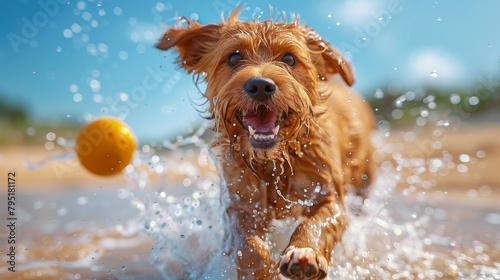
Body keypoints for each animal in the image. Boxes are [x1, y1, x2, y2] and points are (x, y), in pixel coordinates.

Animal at [158, 7, 374, 278]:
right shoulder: (240, 205)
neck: (274, 161)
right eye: (234, 57)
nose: (260, 85)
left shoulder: (328, 196)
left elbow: (316, 222)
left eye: (290, 59)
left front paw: (304, 251)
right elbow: (248, 245)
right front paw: (259, 269)